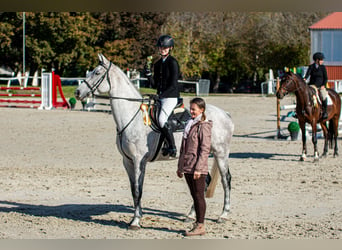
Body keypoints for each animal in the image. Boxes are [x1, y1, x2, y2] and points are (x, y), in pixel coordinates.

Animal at [75, 53, 234, 229]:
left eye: (97, 73)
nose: (77, 92)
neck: (133, 117)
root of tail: (225, 114)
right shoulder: (127, 161)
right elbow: (133, 190)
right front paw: (137, 216)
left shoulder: (139, 160)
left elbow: (138, 189)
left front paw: (136, 221)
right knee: (204, 180)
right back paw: (191, 215)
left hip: (220, 153)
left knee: (226, 180)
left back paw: (223, 215)